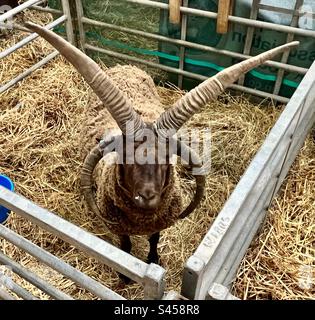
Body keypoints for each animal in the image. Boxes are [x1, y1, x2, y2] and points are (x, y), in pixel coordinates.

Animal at [25, 21, 300, 272]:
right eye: (124, 154)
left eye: (168, 157)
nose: (147, 196)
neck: (142, 219)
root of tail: (125, 65)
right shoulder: (118, 227)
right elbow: (125, 245)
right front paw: (126, 275)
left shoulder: (159, 224)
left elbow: (154, 240)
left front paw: (153, 260)